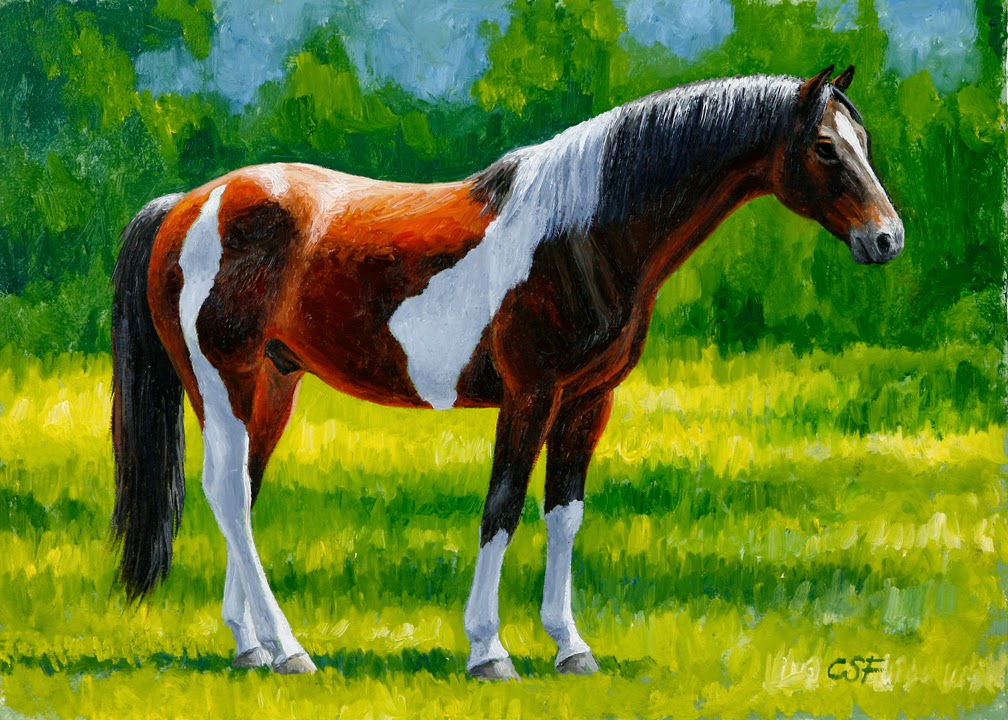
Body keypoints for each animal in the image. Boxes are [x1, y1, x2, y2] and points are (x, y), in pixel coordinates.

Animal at [110, 65, 903, 680]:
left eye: (865, 143)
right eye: (826, 148)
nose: (887, 239)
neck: (582, 234)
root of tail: (189, 204)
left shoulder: (589, 400)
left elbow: (564, 513)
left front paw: (571, 648)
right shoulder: (531, 394)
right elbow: (503, 509)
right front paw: (489, 653)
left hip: (271, 385)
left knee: (238, 493)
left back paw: (254, 648)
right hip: (226, 382)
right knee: (227, 493)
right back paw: (291, 649)